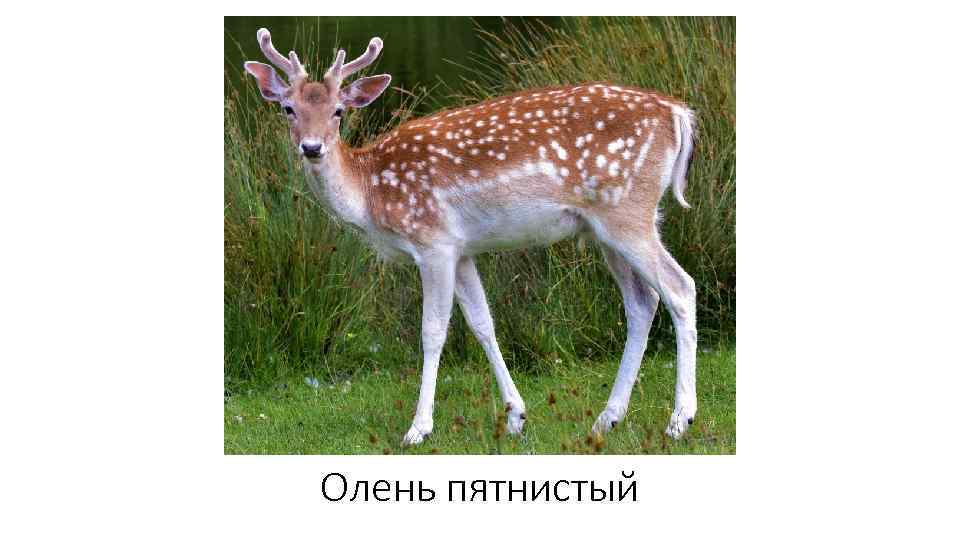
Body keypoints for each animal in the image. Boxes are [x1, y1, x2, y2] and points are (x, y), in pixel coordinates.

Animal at [243, 28, 699, 446]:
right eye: (288, 108)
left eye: (339, 111)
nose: (312, 147)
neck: (372, 194)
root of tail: (679, 114)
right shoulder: (462, 250)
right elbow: (483, 323)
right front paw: (516, 416)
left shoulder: (433, 242)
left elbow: (432, 331)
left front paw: (418, 428)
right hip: (607, 226)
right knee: (642, 301)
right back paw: (607, 419)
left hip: (628, 212)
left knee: (680, 287)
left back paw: (679, 420)